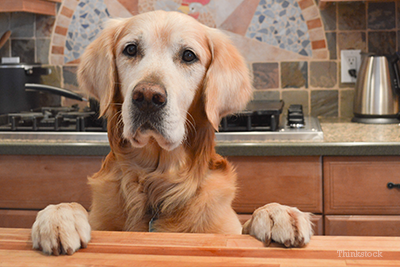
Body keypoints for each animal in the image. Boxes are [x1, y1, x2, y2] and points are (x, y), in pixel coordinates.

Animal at [31, 10, 312, 256]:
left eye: (188, 56)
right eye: (130, 49)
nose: (147, 97)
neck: (156, 182)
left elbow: (249, 220)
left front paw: (277, 213)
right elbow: (73, 207)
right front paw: (58, 215)